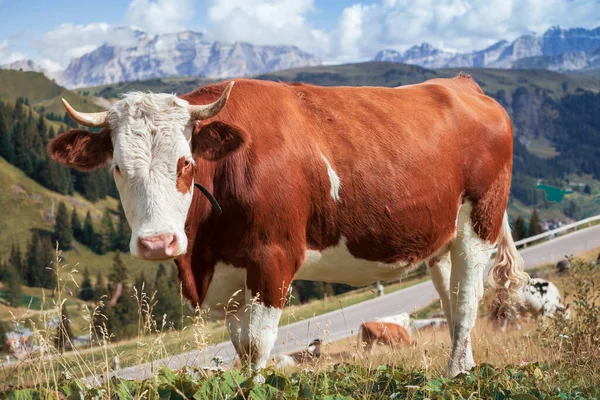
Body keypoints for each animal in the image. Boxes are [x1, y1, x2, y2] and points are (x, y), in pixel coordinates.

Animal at [48, 72, 524, 378]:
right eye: (117, 168)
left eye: (185, 163)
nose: (157, 242)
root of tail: (462, 83)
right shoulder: (231, 277)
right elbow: (241, 350)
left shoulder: (272, 259)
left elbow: (258, 347)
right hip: (440, 239)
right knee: (450, 298)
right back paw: (465, 368)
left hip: (479, 222)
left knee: (467, 300)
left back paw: (455, 374)